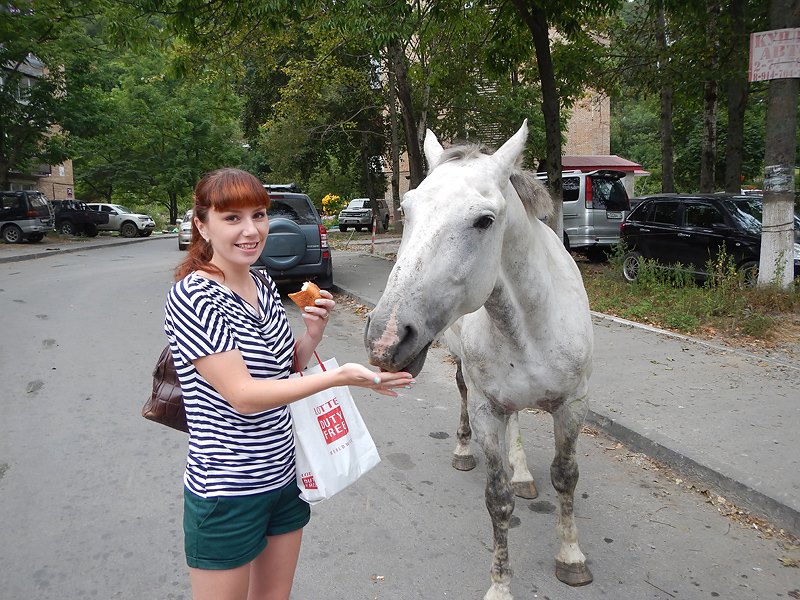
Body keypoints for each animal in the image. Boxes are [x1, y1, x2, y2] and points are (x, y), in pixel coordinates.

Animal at [364, 122, 592, 600]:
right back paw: (465, 451)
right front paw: (500, 585)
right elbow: (498, 499)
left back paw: (524, 473)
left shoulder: (573, 405)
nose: (385, 338)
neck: (531, 325)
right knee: (466, 397)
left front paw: (571, 557)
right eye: (407, 209)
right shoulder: (489, 409)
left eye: (484, 220)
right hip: (467, 376)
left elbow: (566, 476)